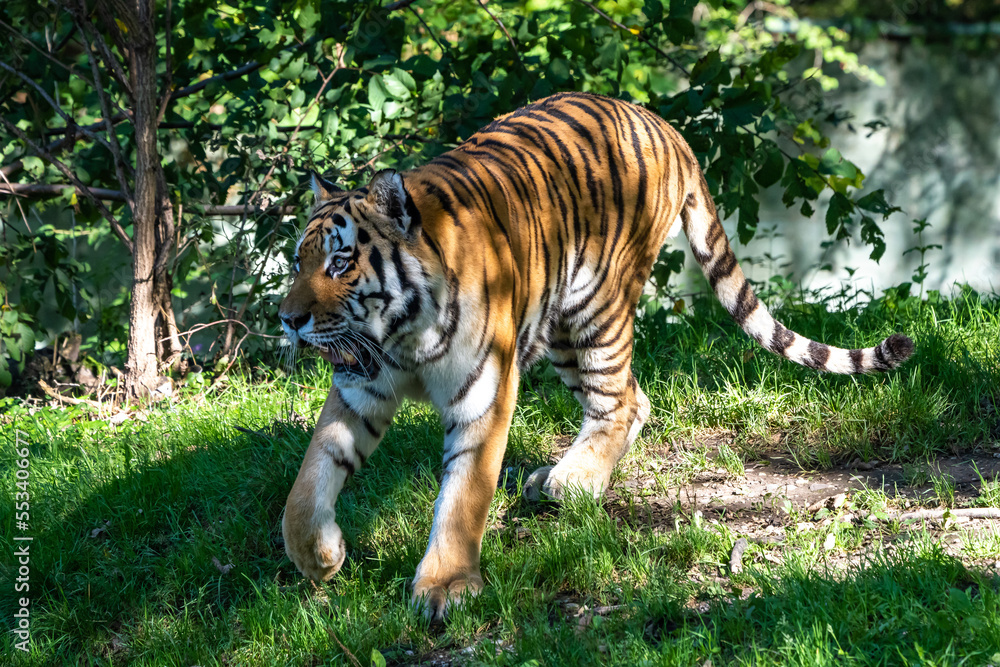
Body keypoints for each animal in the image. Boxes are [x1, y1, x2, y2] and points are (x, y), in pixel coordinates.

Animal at [277, 91, 913, 620]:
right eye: (298, 262)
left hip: (595, 309)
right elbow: (306, 484)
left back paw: (574, 481)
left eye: (340, 263)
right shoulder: (360, 387)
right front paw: (320, 557)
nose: (288, 319)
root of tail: (660, 121)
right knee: (637, 399)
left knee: (622, 400)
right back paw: (562, 475)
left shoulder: (483, 395)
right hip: (559, 328)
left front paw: (446, 586)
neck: (400, 334)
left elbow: (464, 496)